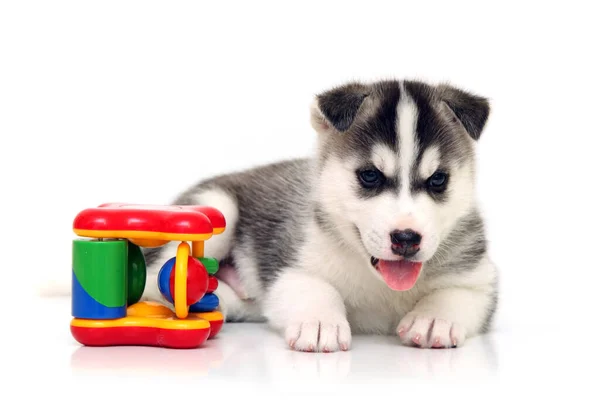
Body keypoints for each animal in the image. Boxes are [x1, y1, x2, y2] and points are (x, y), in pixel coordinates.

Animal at [141, 79, 496, 354]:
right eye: (370, 176)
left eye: (438, 179)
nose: (406, 238)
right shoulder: (289, 264)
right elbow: (314, 287)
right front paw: (321, 322)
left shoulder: (482, 279)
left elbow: (458, 294)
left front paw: (435, 318)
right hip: (218, 208)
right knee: (154, 280)